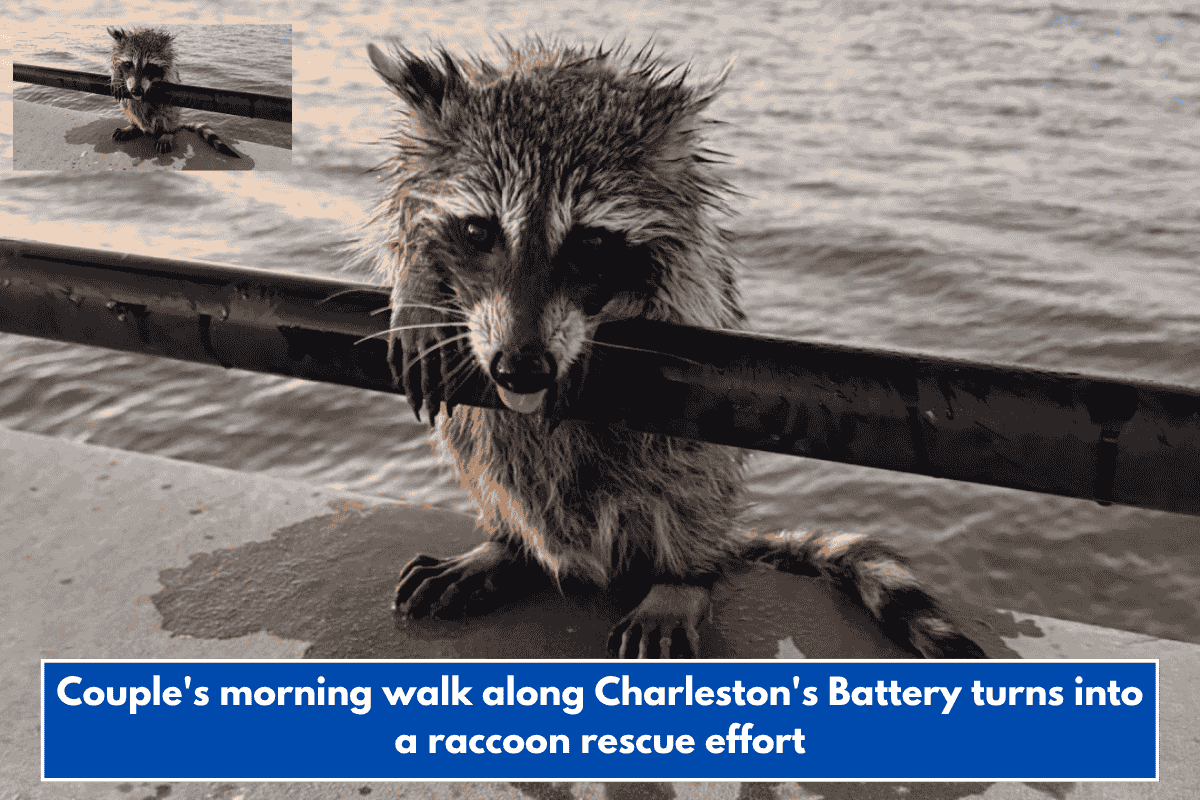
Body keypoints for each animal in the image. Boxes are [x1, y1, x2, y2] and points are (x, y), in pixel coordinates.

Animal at [107, 27, 239, 157]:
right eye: (128, 64)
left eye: (150, 66)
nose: (136, 90)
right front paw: (116, 75)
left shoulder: (169, 64)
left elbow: (171, 75)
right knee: (128, 104)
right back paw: (134, 126)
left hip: (171, 114)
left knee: (168, 111)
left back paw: (167, 133)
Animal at [365, 39, 986, 659]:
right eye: (478, 232)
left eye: (590, 243)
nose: (521, 367)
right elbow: (405, 236)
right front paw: (417, 286)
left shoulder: (690, 236)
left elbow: (686, 295)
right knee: (478, 445)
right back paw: (507, 545)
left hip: (692, 481)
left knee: (685, 478)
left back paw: (680, 578)